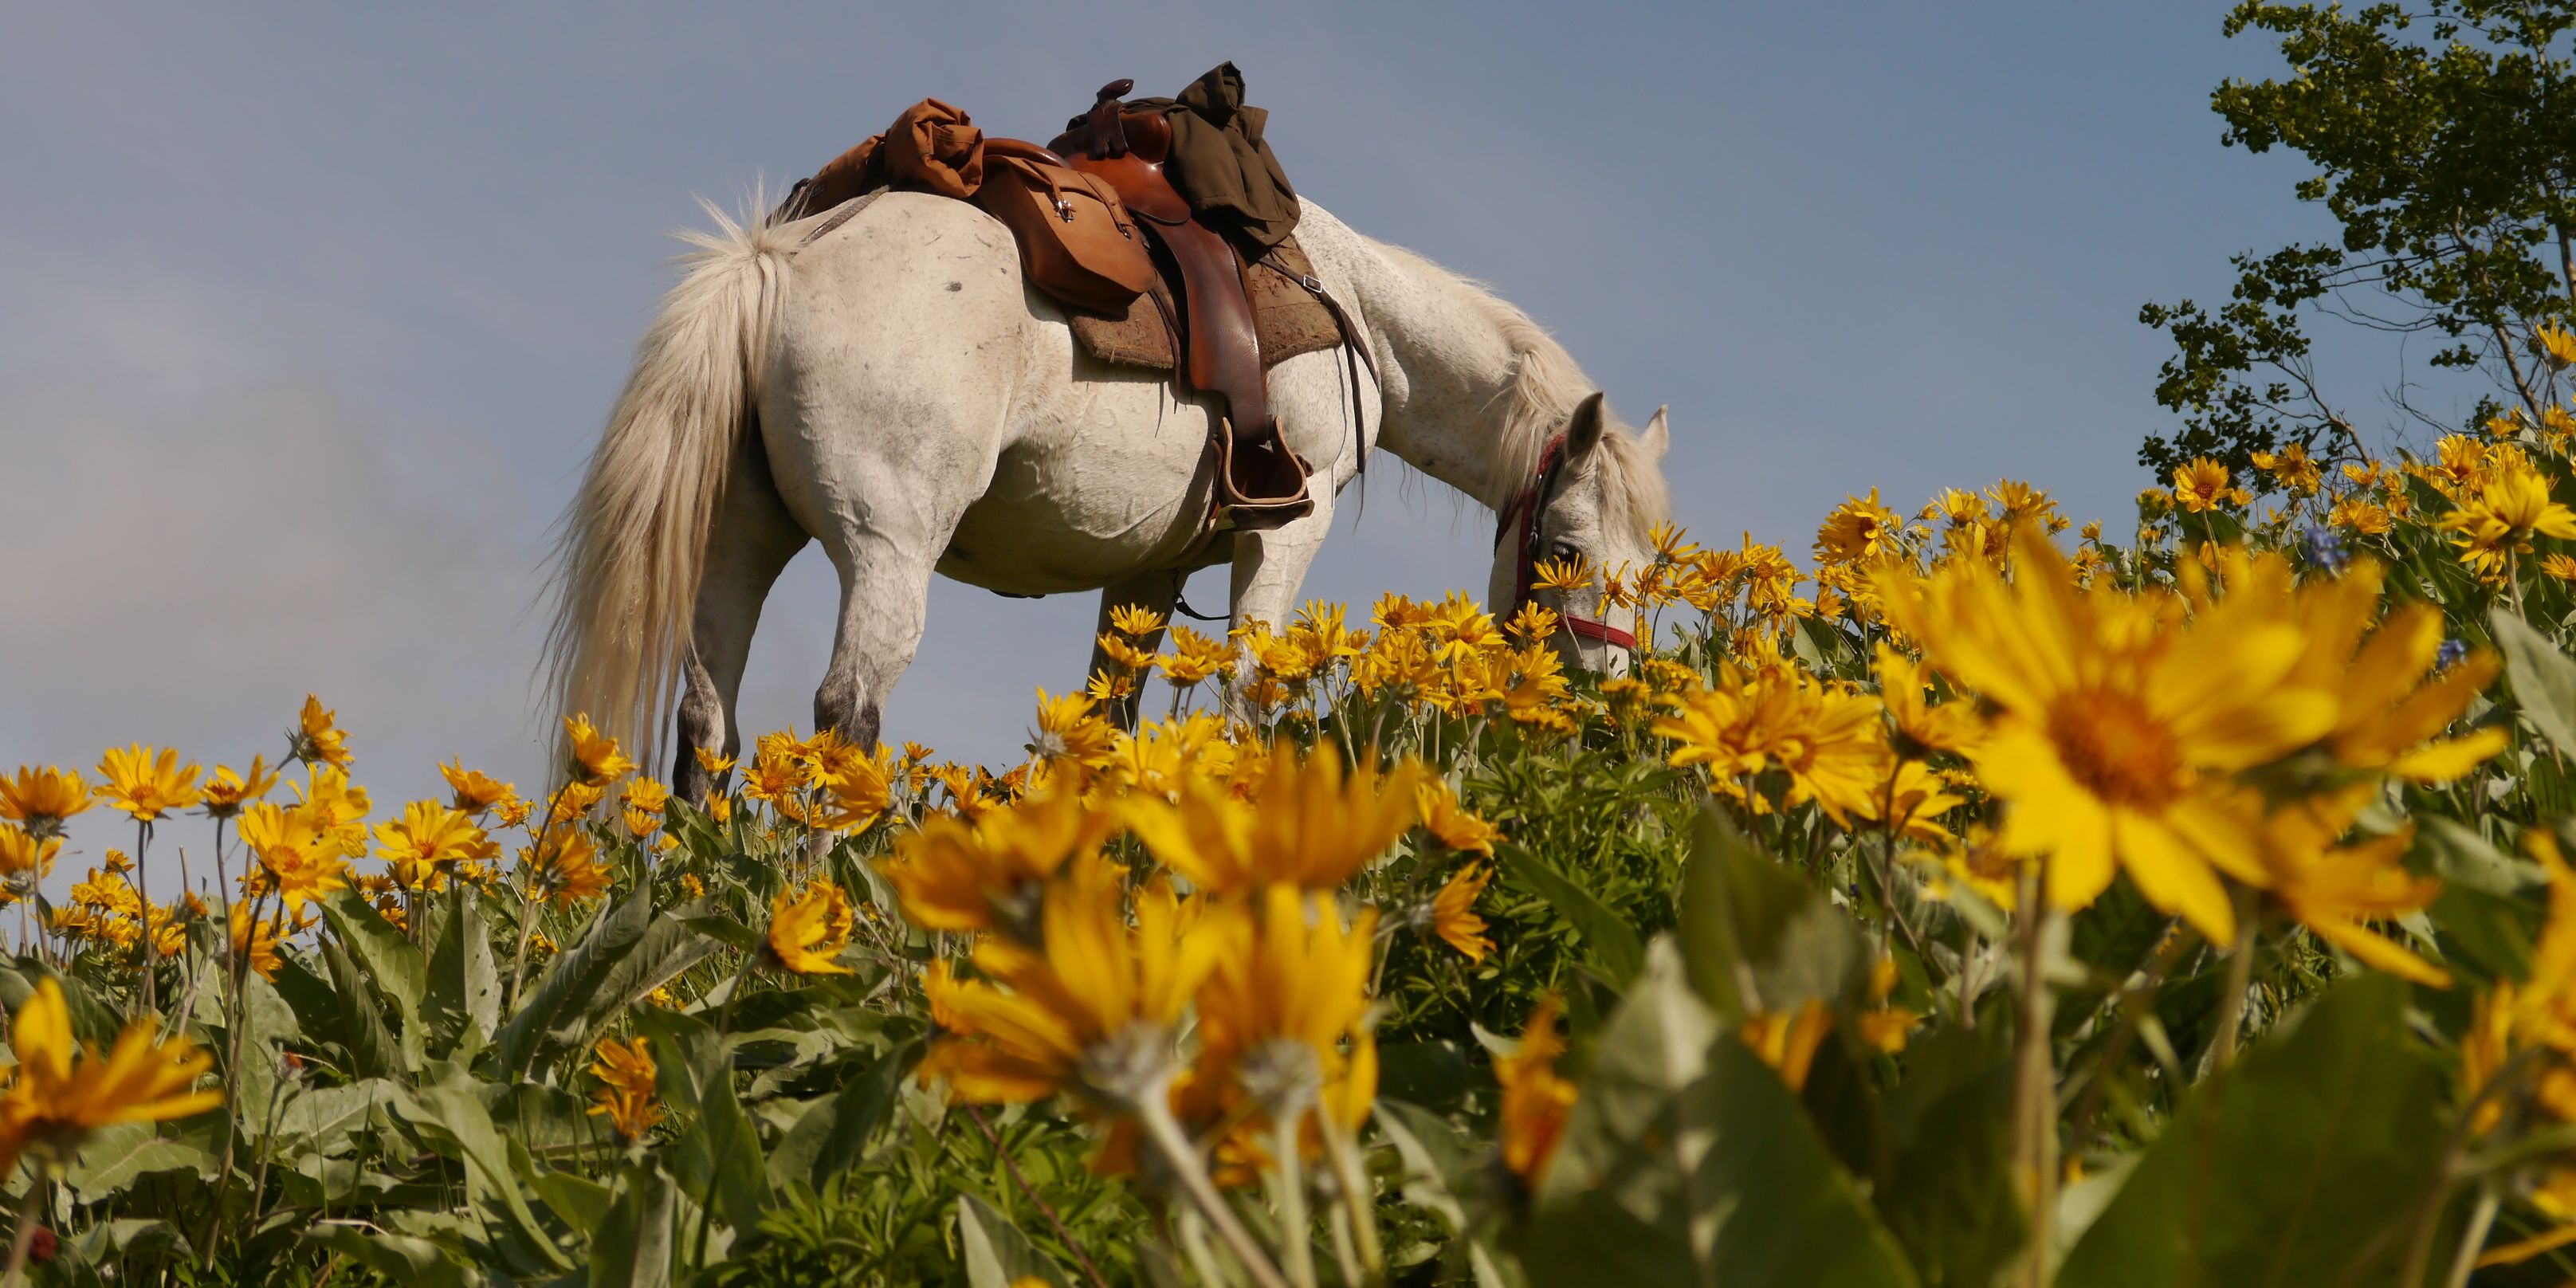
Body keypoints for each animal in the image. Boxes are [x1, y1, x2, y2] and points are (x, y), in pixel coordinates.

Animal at [543, 187, 1675, 800]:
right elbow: (1246, 698)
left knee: (707, 722)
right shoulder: (1286, 534)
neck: (1351, 309)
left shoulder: (1149, 574)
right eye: (1564, 549)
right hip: (888, 551)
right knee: (844, 711)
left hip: (739, 546)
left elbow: (1107, 725)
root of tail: (781, 258)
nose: (1605, 706)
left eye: (1643, 571)